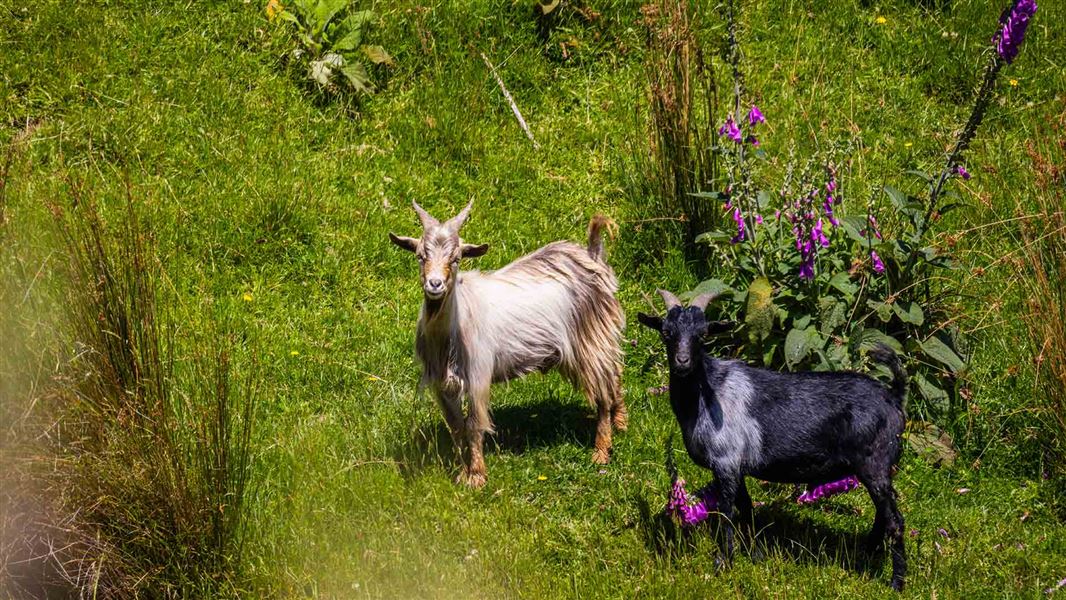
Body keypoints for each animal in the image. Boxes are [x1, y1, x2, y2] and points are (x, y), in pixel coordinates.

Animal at [389, 201, 626, 488]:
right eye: (421, 256)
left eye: (456, 258)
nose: (435, 284)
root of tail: (593, 255)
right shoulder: (441, 383)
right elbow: (456, 425)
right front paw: (461, 471)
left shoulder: (478, 375)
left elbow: (474, 425)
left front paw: (477, 476)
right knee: (615, 372)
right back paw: (621, 421)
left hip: (590, 340)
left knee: (602, 388)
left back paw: (601, 451)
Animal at [638, 289, 907, 590]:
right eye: (666, 332)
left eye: (702, 334)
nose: (682, 362)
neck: (708, 392)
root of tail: (894, 396)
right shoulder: (736, 467)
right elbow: (746, 509)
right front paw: (756, 555)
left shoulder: (725, 462)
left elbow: (727, 512)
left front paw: (724, 562)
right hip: (877, 471)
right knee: (883, 515)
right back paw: (865, 556)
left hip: (874, 464)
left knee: (895, 522)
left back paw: (896, 582)